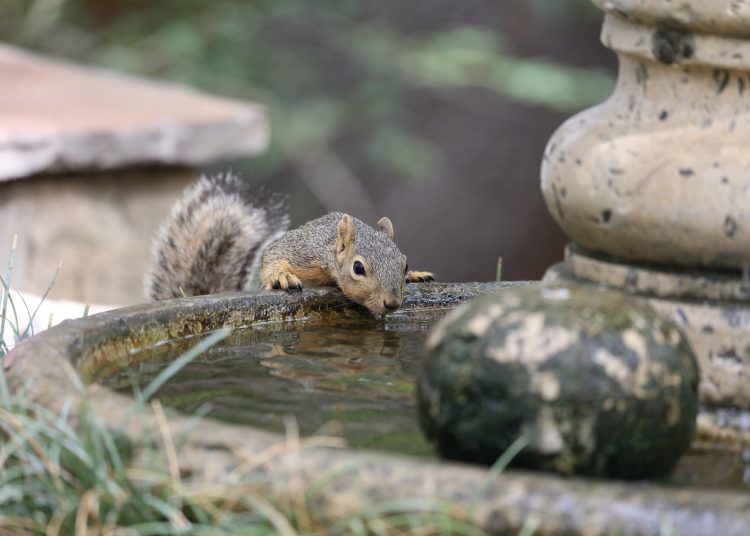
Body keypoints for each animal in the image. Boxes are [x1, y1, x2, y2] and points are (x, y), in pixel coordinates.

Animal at [146, 173, 434, 315]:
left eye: (404, 264)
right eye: (358, 268)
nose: (392, 303)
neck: (329, 250)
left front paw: (416, 275)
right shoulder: (305, 251)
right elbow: (274, 254)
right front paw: (280, 277)